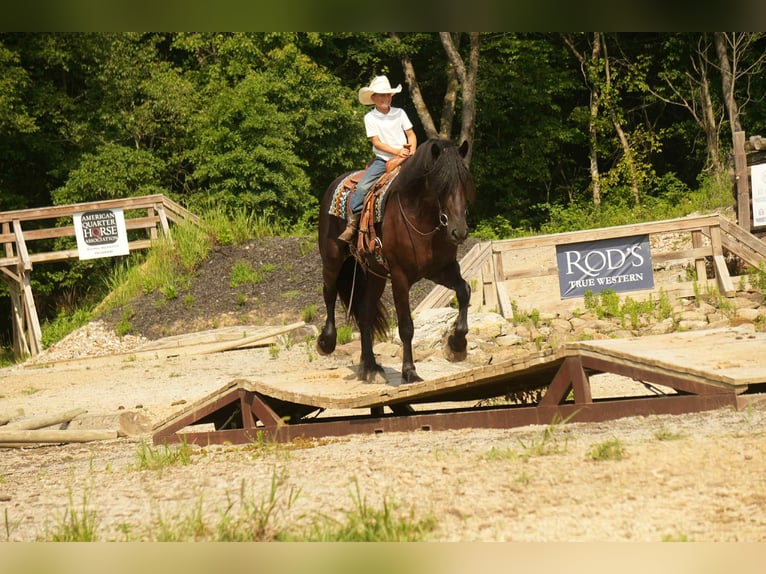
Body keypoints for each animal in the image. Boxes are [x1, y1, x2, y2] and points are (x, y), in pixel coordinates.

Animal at [317, 138, 476, 385]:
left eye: (464, 183)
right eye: (441, 185)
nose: (458, 231)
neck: (419, 217)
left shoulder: (442, 270)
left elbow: (464, 291)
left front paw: (457, 345)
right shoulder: (400, 277)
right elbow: (406, 327)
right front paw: (409, 371)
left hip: (376, 274)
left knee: (365, 313)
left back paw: (370, 367)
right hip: (333, 260)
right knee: (330, 294)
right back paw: (327, 342)